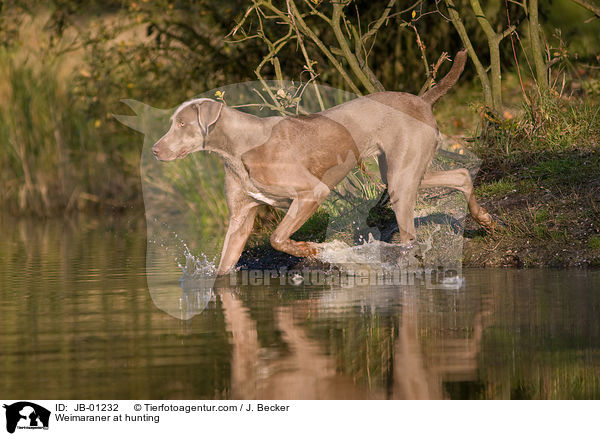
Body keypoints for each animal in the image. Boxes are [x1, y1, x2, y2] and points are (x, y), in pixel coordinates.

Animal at [152, 50, 494, 276]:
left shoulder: (311, 192)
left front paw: (307, 249)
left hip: (400, 177)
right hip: (400, 170)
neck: (237, 148)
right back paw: (484, 218)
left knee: (411, 235)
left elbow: (277, 237)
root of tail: (422, 100)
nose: (155, 150)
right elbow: (225, 266)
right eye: (172, 123)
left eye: (181, 124)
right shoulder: (241, 218)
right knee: (461, 175)